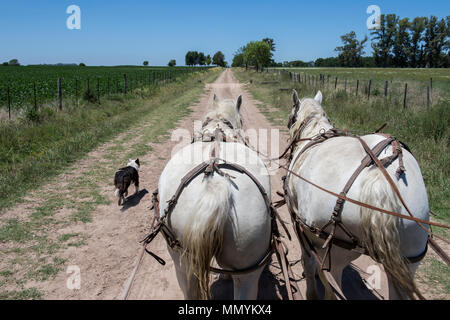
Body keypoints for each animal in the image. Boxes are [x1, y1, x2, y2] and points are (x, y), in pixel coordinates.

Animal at [288, 90, 428, 300]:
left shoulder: (299, 224)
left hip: (335, 254)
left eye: (290, 119)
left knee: (333, 289)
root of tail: (379, 180)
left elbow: (308, 260)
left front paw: (311, 291)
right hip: (410, 258)